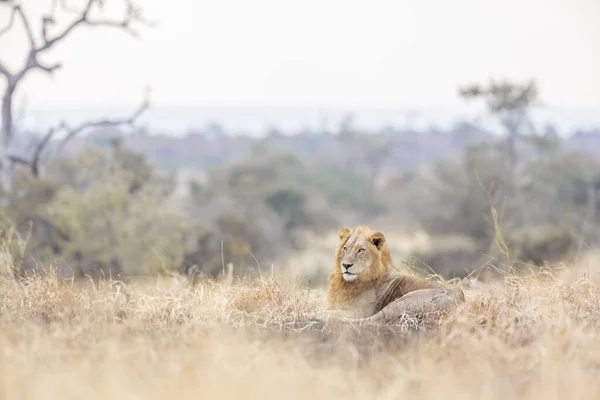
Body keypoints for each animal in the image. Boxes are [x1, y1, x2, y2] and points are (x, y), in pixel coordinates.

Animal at [328, 225, 464, 322]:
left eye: (361, 250)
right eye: (345, 248)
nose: (346, 265)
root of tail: (462, 300)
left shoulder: (361, 310)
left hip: (402, 302)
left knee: (374, 320)